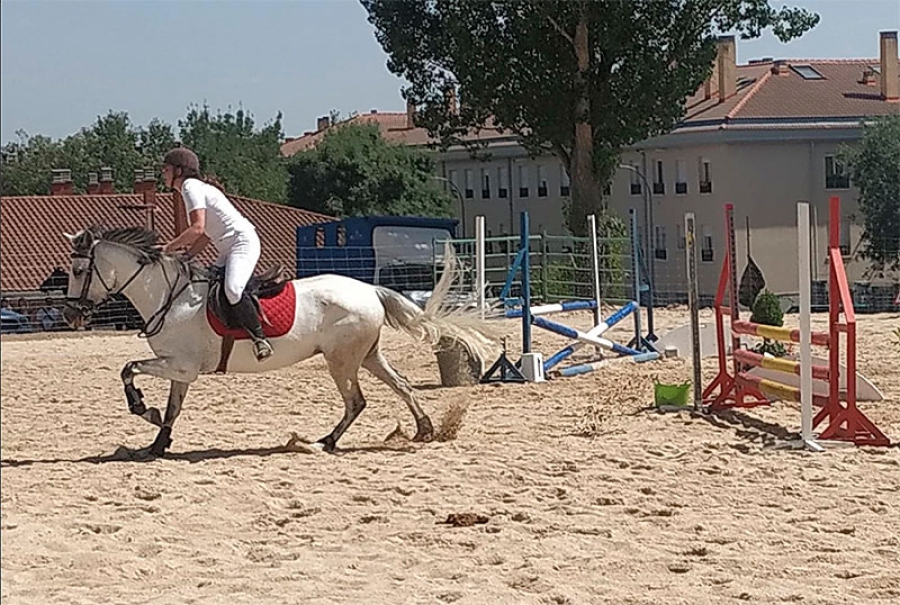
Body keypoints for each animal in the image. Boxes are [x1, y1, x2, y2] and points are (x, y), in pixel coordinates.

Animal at [63, 224, 500, 456]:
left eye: (78, 270)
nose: (69, 315)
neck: (170, 295)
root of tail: (371, 290)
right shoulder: (181, 371)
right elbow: (172, 409)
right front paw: (156, 443)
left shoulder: (181, 365)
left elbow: (128, 370)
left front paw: (143, 409)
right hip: (367, 355)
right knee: (402, 386)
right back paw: (424, 430)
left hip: (341, 360)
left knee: (356, 401)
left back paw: (324, 442)